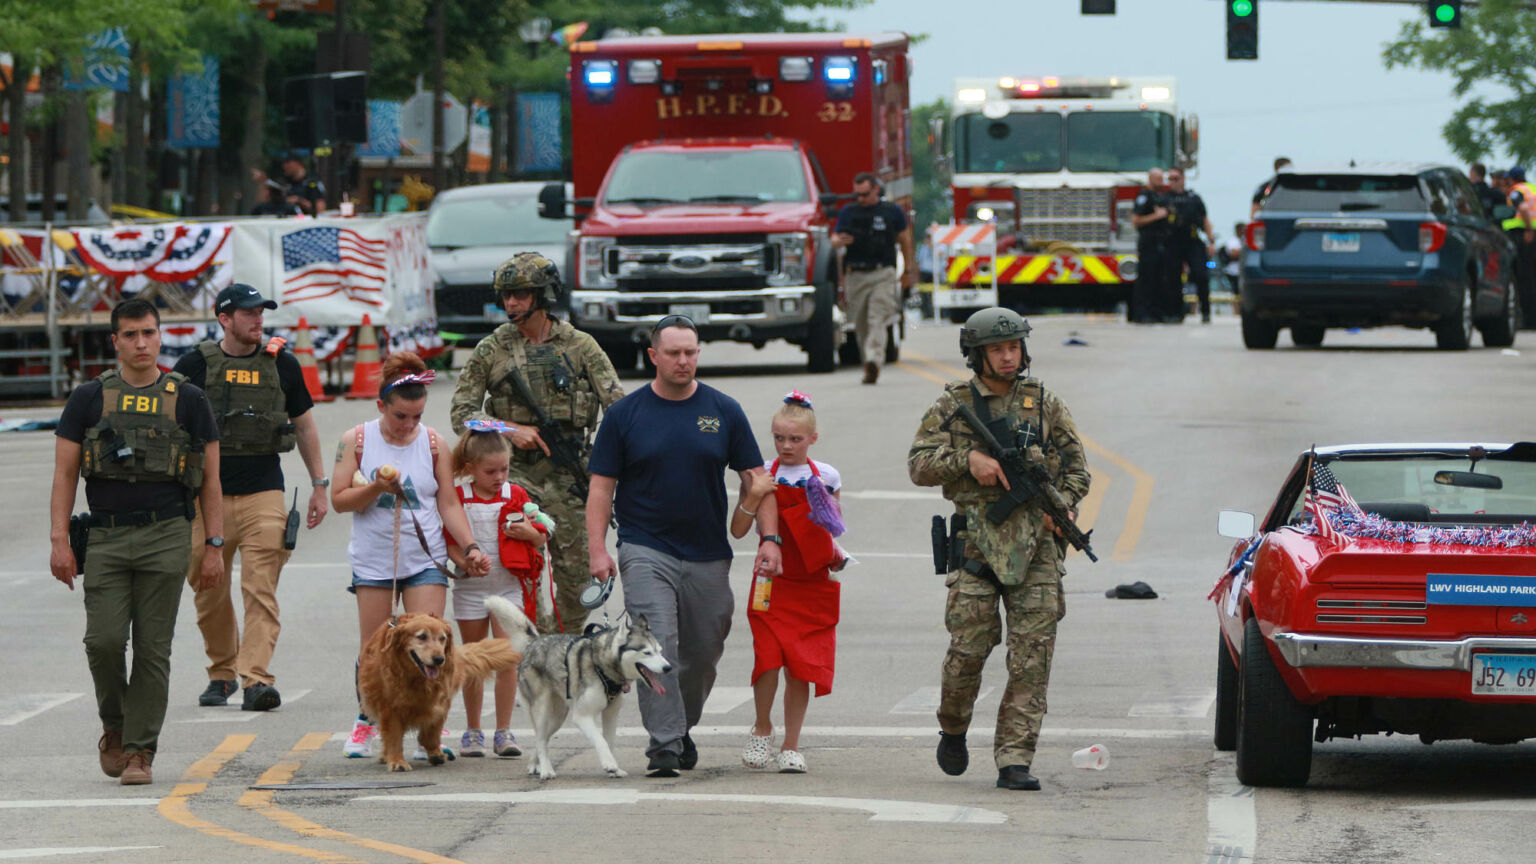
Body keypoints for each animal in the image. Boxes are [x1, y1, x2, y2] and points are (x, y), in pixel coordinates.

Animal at [482, 596, 669, 777]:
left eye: (660, 651)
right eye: (647, 652)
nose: (668, 667)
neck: (602, 666)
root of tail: (534, 642)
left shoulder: (611, 713)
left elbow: (610, 741)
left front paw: (615, 768)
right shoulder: (581, 716)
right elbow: (600, 740)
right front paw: (609, 764)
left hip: (557, 717)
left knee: (542, 739)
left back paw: (534, 765)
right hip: (543, 709)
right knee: (541, 739)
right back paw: (546, 770)